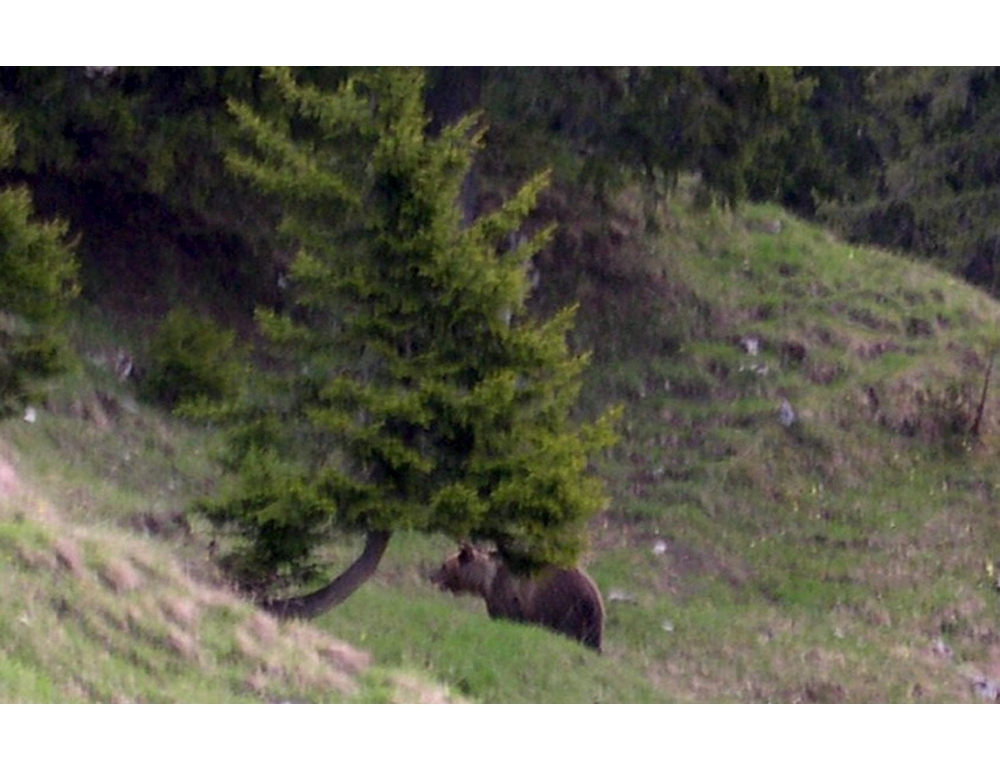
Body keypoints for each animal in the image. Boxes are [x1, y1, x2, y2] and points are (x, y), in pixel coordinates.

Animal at [430, 543, 604, 652]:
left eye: (444, 565)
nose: (432, 577)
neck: (486, 580)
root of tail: (595, 594)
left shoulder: (508, 595)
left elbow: (505, 616)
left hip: (567, 608)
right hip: (589, 622)